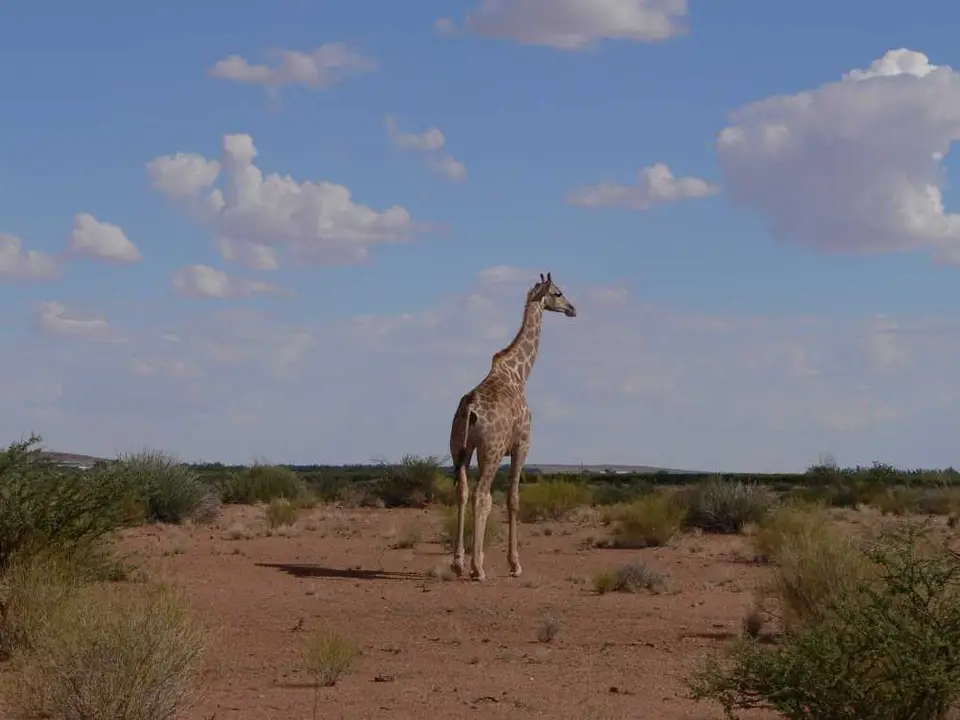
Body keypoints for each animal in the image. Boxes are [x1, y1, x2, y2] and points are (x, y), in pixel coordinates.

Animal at [448, 272, 577, 581]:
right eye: (558, 292)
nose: (572, 309)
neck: (520, 373)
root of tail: (469, 408)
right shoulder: (522, 444)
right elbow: (513, 499)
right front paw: (515, 564)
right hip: (491, 451)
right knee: (481, 496)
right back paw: (478, 568)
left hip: (459, 449)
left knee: (463, 493)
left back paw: (458, 563)